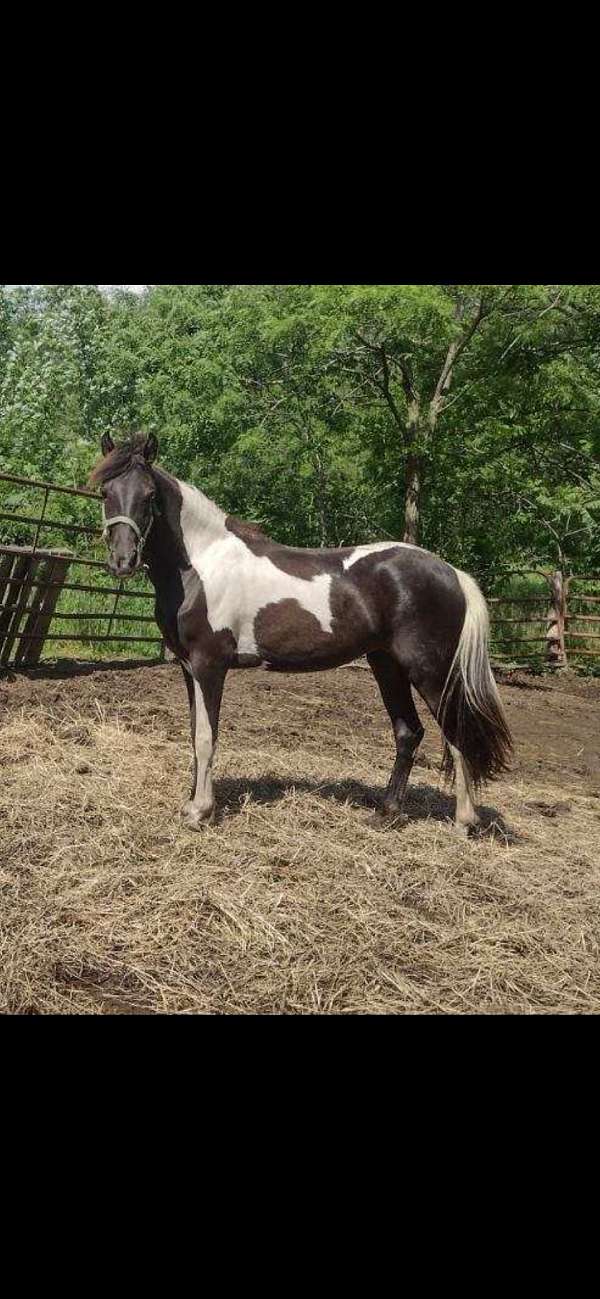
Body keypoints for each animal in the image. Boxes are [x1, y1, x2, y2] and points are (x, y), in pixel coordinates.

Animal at [92, 433, 512, 835]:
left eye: (149, 495)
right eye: (105, 492)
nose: (123, 561)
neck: (201, 566)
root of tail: (452, 572)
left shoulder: (209, 666)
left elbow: (206, 738)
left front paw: (201, 811)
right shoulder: (187, 668)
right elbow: (196, 734)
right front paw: (191, 802)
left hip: (431, 672)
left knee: (457, 735)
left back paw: (464, 821)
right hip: (387, 665)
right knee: (409, 732)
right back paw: (387, 814)